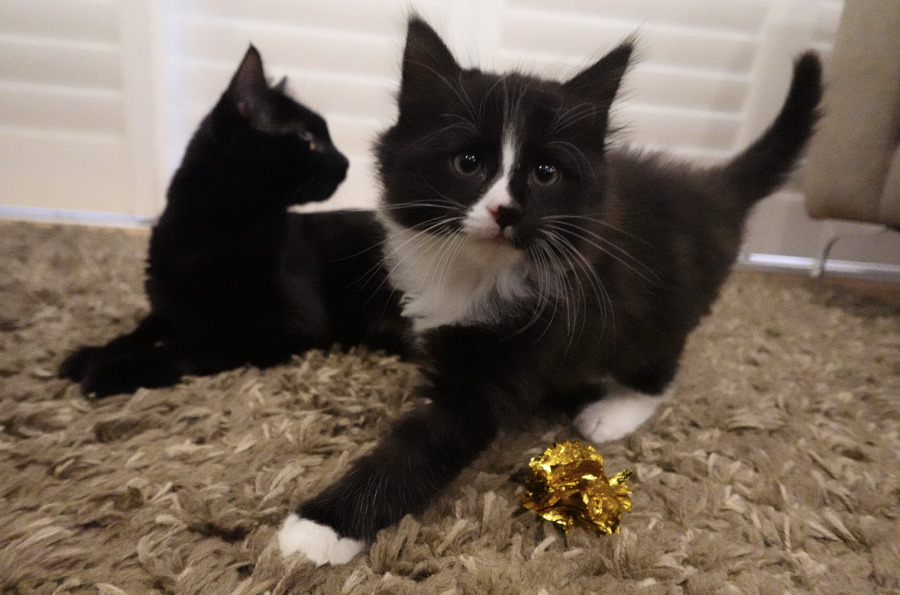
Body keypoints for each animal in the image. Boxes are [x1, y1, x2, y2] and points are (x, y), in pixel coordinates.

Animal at [59, 45, 408, 397]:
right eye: (308, 137)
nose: (346, 161)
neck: (210, 233)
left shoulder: (286, 323)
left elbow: (189, 347)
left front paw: (113, 370)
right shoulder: (170, 308)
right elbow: (138, 332)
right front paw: (89, 355)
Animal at [277, 17, 822, 565]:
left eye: (546, 173)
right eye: (468, 162)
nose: (507, 210)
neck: (481, 270)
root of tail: (715, 187)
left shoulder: (500, 365)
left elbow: (421, 448)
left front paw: (318, 530)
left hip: (660, 307)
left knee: (661, 367)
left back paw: (612, 409)